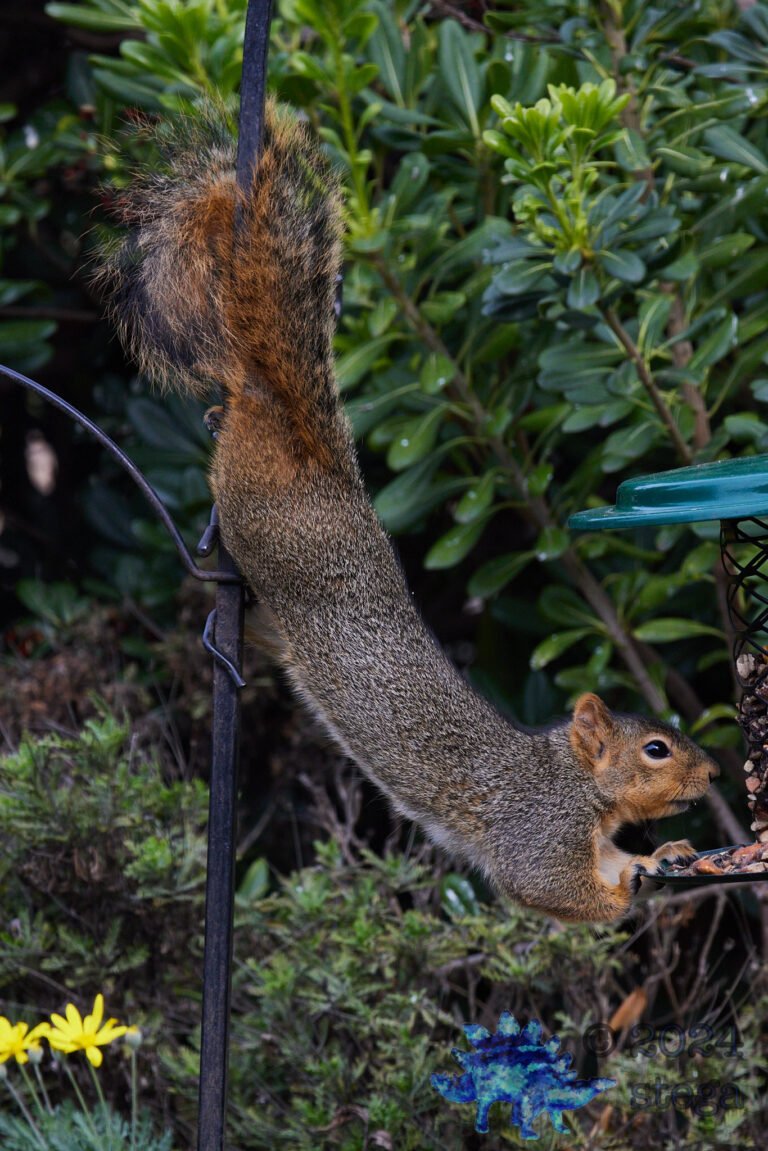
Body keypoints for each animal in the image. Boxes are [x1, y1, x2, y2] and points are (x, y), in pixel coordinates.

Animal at [96, 100, 719, 923]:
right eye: (655, 749)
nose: (713, 776)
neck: (572, 779)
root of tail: (305, 442)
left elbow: (616, 861)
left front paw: (663, 855)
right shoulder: (538, 828)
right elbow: (547, 887)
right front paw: (628, 892)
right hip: (262, 522)